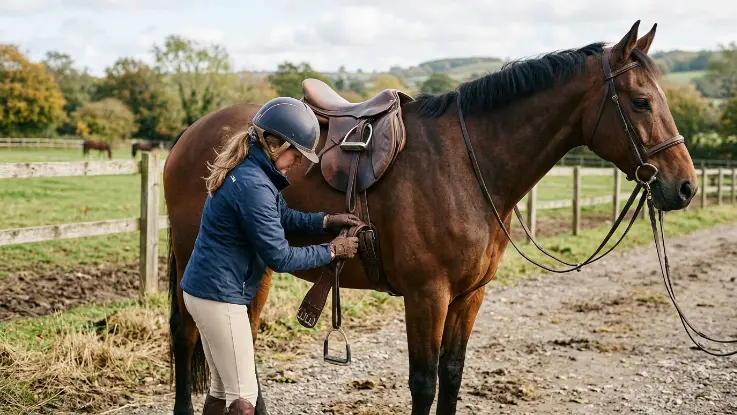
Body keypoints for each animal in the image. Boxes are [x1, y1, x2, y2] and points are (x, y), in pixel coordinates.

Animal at [163, 21, 697, 414]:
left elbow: (451, 375)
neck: (467, 164)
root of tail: (191, 134)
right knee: (188, 335)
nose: (685, 186)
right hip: (198, 257)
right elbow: (423, 383)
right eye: (641, 102)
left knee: (242, 340)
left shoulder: (468, 295)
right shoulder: (427, 295)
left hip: (258, 268)